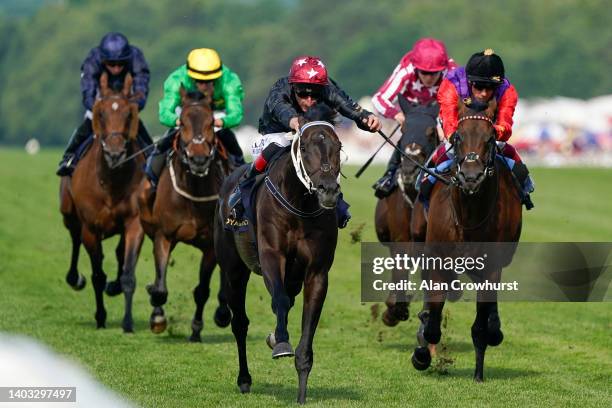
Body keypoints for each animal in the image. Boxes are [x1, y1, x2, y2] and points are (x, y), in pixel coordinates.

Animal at [59, 73, 146, 334]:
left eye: (129, 114)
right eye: (101, 114)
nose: (115, 153)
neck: (111, 180)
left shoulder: (134, 222)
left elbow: (128, 273)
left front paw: (127, 323)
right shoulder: (91, 228)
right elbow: (97, 275)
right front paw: (100, 317)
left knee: (118, 253)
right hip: (69, 213)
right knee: (74, 239)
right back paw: (75, 278)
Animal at [137, 86, 231, 342]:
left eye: (210, 123)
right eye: (184, 123)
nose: (198, 159)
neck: (193, 192)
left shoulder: (210, 247)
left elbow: (202, 290)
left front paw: (196, 329)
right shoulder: (164, 235)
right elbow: (160, 286)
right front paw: (157, 316)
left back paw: (223, 311)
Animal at [214, 104, 340, 402]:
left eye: (339, 146)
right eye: (304, 146)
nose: (328, 190)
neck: (300, 205)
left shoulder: (317, 272)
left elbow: (307, 328)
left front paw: (302, 393)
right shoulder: (272, 256)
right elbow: (279, 300)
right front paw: (281, 343)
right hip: (234, 268)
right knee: (240, 323)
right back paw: (244, 378)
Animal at [412, 99, 520, 382]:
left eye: (490, 138)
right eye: (458, 137)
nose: (471, 177)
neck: (469, 215)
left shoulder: (491, 267)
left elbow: (481, 324)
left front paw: (479, 373)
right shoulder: (438, 259)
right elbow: (432, 320)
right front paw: (422, 353)